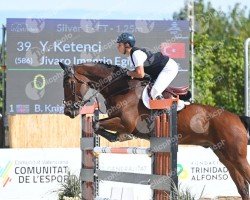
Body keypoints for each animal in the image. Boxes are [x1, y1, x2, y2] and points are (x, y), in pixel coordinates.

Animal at [59, 61, 250, 199]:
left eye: (69, 83)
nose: (69, 111)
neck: (122, 90)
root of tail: (236, 118)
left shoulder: (127, 123)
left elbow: (98, 125)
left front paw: (122, 137)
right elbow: (96, 125)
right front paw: (118, 137)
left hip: (236, 156)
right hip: (224, 156)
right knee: (242, 187)